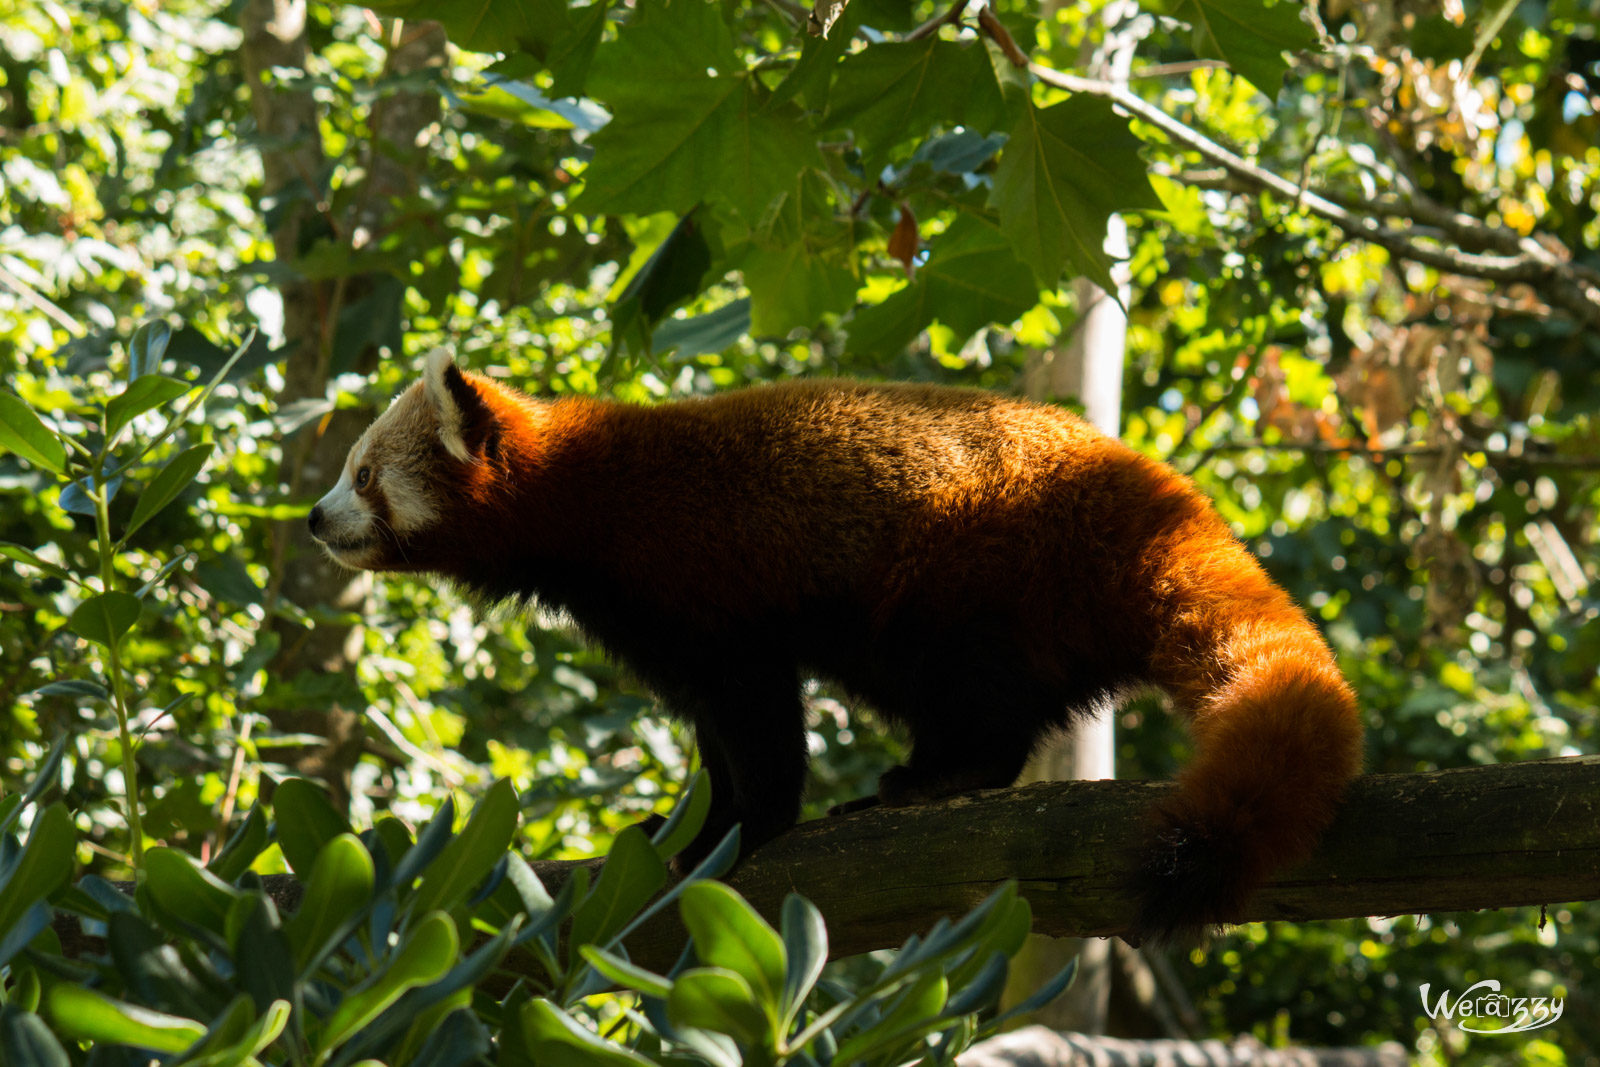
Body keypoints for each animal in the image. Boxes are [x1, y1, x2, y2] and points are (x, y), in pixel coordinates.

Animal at [312, 351, 1363, 940]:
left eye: (362, 475)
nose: (317, 519)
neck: (582, 495)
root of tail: (1153, 494)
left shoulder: (705, 590)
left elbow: (760, 723)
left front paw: (743, 830)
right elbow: (715, 731)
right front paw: (685, 824)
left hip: (968, 577)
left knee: (973, 698)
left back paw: (933, 776)